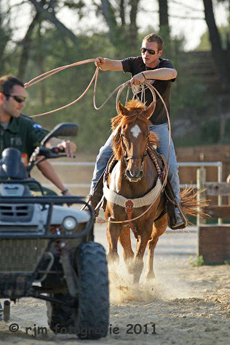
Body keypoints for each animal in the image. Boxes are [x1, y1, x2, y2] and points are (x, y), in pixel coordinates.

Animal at [103, 97, 200, 282]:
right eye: (123, 134)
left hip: (160, 223)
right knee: (127, 252)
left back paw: (150, 276)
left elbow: (138, 262)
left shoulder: (147, 224)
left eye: (147, 134)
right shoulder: (114, 221)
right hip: (126, 226)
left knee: (151, 244)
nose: (134, 172)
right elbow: (113, 257)